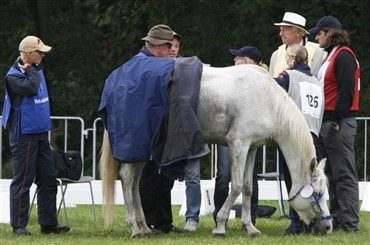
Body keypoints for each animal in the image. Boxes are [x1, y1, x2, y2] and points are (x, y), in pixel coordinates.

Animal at [98, 63, 332, 237]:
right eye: (318, 193)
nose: (329, 227)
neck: (268, 100)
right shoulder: (238, 143)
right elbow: (235, 186)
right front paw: (220, 226)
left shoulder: (252, 148)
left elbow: (247, 188)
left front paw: (250, 227)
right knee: (127, 178)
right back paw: (135, 228)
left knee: (134, 183)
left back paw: (145, 227)